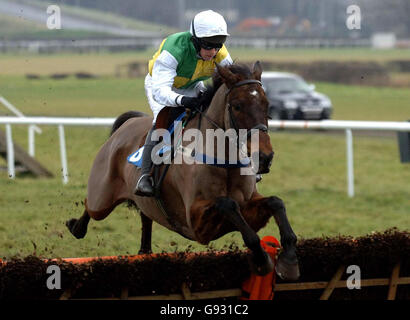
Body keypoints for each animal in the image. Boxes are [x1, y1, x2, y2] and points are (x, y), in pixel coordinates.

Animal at [65, 60, 300, 280]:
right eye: (237, 106)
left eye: (267, 104)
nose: (264, 157)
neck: (223, 161)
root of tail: (126, 125)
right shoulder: (195, 223)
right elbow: (228, 204)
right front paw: (261, 259)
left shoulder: (249, 205)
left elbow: (275, 202)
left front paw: (288, 259)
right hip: (101, 198)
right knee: (90, 205)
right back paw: (75, 226)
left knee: (145, 217)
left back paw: (144, 251)